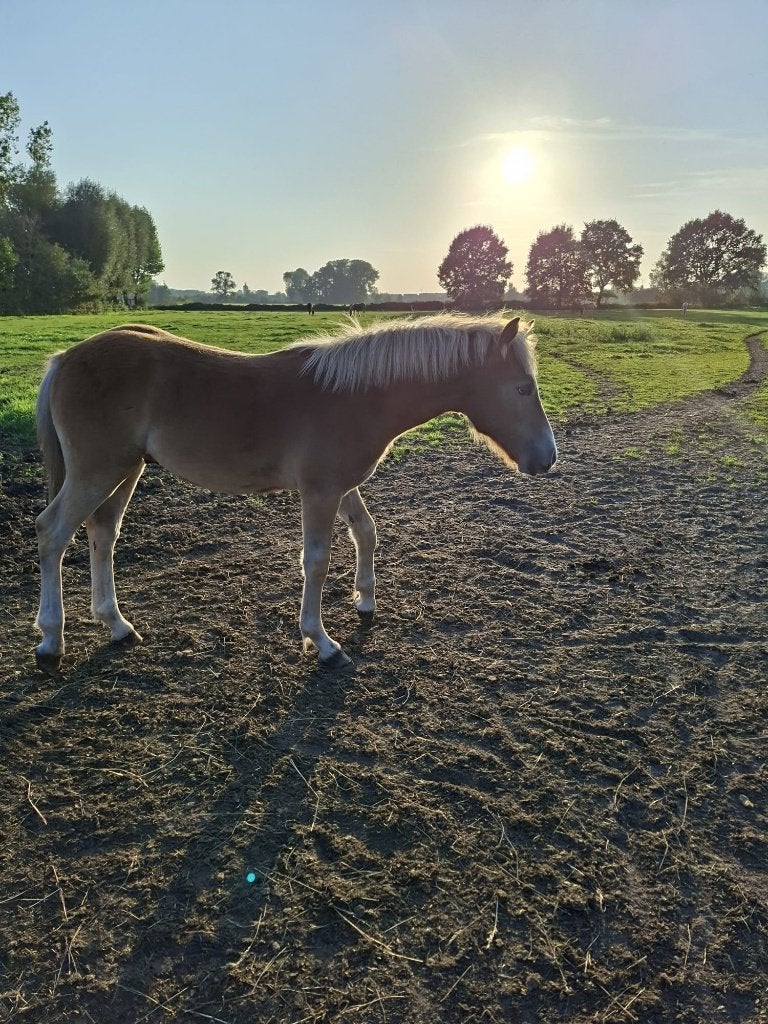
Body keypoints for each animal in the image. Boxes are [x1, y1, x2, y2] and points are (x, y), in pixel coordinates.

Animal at [33, 313, 557, 675]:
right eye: (522, 388)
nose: (547, 458)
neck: (355, 397)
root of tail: (65, 359)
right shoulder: (319, 492)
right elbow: (317, 561)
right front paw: (321, 642)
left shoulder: (341, 486)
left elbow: (367, 532)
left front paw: (365, 600)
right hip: (97, 470)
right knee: (52, 532)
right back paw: (51, 641)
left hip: (126, 469)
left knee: (102, 533)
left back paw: (116, 625)